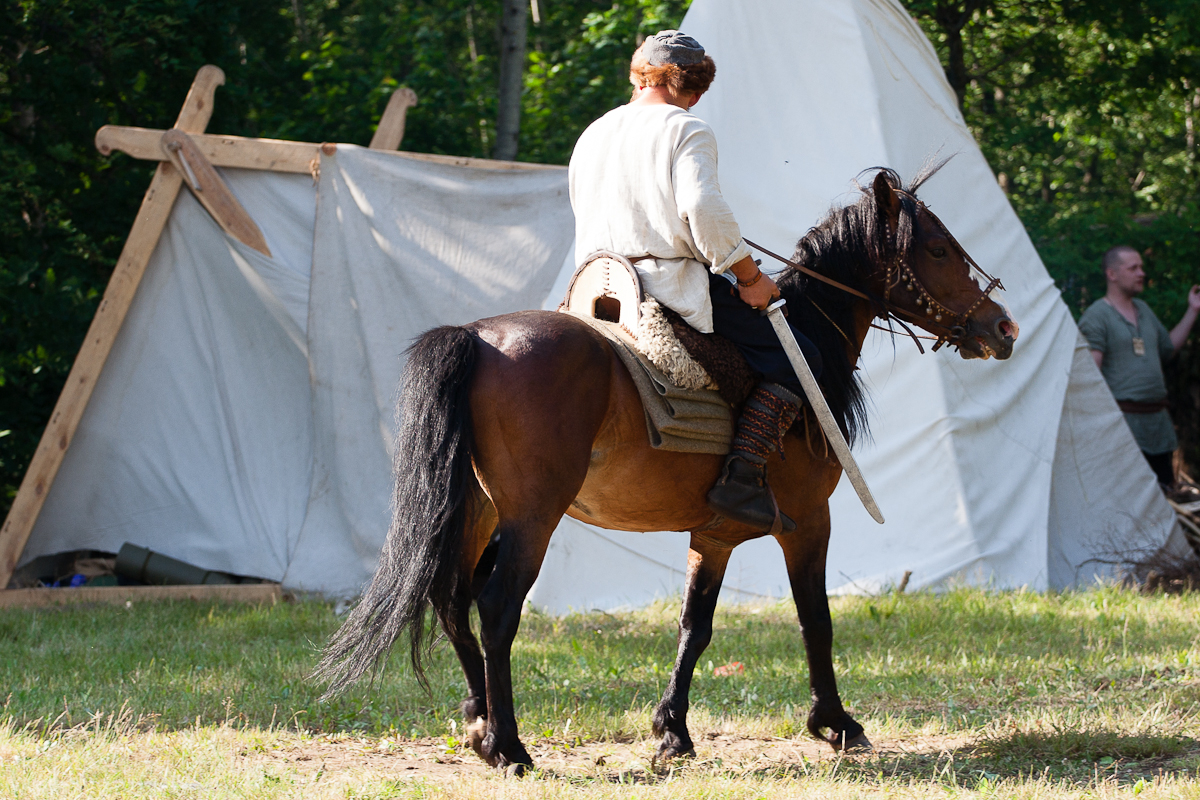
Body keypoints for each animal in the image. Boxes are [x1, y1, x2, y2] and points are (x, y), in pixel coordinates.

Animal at [314, 164, 1019, 772]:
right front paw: (836, 723)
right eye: (938, 250)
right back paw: (508, 746)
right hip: (531, 518)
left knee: (453, 599)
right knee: (495, 607)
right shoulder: (807, 522)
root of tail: (478, 337)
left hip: (478, 511)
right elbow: (814, 618)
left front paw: (672, 731)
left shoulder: (715, 534)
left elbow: (694, 627)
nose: (1004, 328)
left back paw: (479, 723)